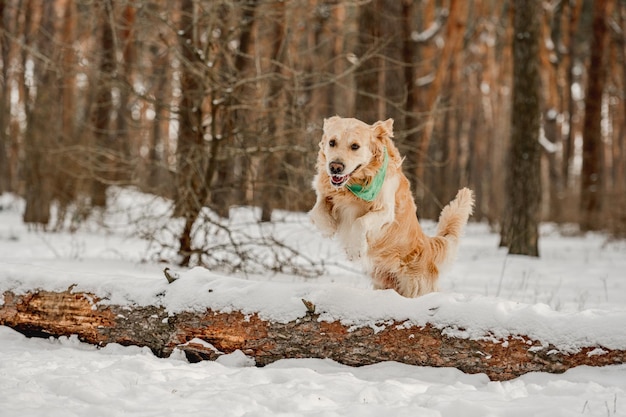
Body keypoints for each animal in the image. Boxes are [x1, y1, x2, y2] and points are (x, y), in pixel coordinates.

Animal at [308, 115, 472, 298]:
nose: (335, 167)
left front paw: (355, 249)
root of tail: (428, 245)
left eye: (355, 146)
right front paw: (329, 227)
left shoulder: (386, 211)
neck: (354, 186)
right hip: (382, 282)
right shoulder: (326, 194)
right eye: (332, 142)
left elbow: (360, 222)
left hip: (414, 287)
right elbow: (317, 212)